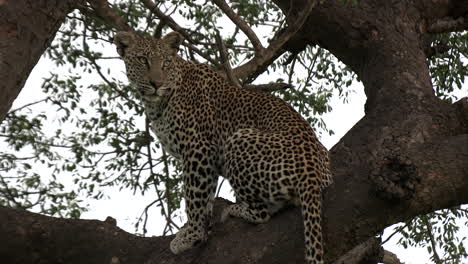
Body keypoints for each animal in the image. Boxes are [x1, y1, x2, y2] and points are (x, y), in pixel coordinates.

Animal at [113, 31, 332, 264]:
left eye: (166, 62)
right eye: (142, 60)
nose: (156, 83)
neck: (158, 102)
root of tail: (312, 171)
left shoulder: (197, 147)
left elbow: (194, 197)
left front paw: (191, 235)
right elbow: (205, 193)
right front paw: (200, 225)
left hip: (238, 140)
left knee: (264, 212)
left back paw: (234, 209)